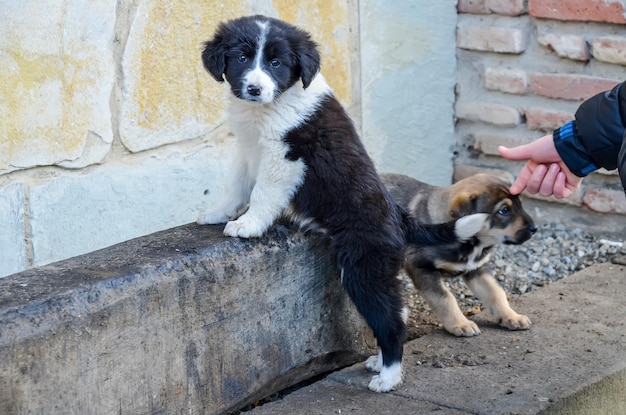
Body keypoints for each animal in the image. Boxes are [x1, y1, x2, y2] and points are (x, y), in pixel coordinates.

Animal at [197, 15, 486, 394]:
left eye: (276, 63)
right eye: (242, 58)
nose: (255, 89)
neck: (271, 106)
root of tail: (400, 217)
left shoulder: (283, 158)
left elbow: (262, 193)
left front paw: (248, 225)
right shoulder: (249, 149)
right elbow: (236, 186)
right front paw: (217, 213)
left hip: (364, 268)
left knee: (390, 321)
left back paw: (388, 377)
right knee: (399, 312)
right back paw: (379, 362)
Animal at [380, 172, 536, 338]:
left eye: (520, 204)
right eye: (504, 210)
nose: (535, 229)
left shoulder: (477, 270)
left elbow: (496, 292)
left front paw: (511, 316)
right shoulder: (420, 266)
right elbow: (445, 297)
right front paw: (460, 324)